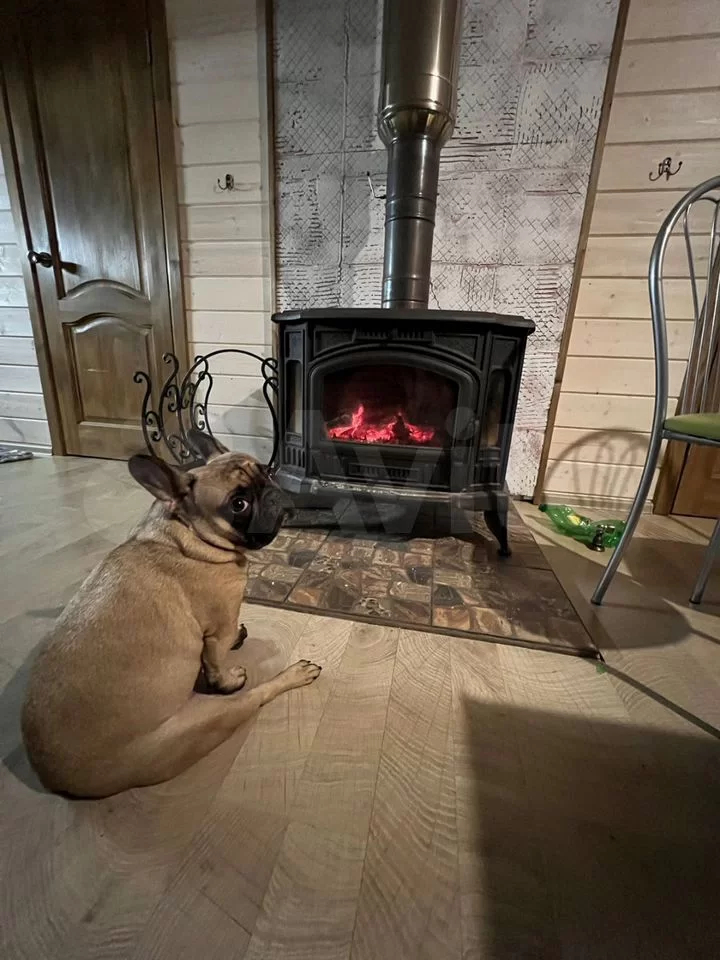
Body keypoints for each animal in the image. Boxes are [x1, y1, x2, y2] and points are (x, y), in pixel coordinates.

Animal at [21, 435, 321, 798]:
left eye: (265, 470)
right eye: (238, 505)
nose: (272, 492)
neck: (185, 534)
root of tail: (58, 781)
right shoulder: (219, 627)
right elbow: (217, 662)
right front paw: (227, 676)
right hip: (206, 721)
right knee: (254, 696)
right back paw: (293, 674)